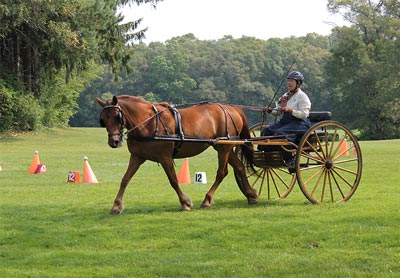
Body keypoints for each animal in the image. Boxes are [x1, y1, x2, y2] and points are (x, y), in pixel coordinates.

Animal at [97, 94, 256, 214]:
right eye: (103, 119)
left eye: (117, 116)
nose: (114, 142)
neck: (147, 123)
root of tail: (232, 109)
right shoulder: (137, 157)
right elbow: (125, 179)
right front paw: (116, 206)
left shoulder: (165, 158)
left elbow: (173, 180)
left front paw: (185, 203)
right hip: (224, 147)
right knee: (240, 167)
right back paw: (251, 195)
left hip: (224, 148)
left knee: (222, 172)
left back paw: (207, 200)